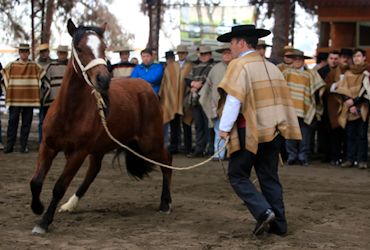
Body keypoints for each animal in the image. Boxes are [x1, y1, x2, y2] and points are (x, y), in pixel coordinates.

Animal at [30, 19, 172, 234]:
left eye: (104, 48)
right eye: (80, 48)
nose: (103, 79)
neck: (68, 112)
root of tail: (147, 88)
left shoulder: (78, 153)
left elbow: (59, 186)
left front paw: (44, 222)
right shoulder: (48, 145)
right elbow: (36, 181)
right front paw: (37, 207)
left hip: (149, 144)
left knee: (167, 161)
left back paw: (165, 203)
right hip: (101, 148)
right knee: (93, 172)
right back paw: (70, 205)